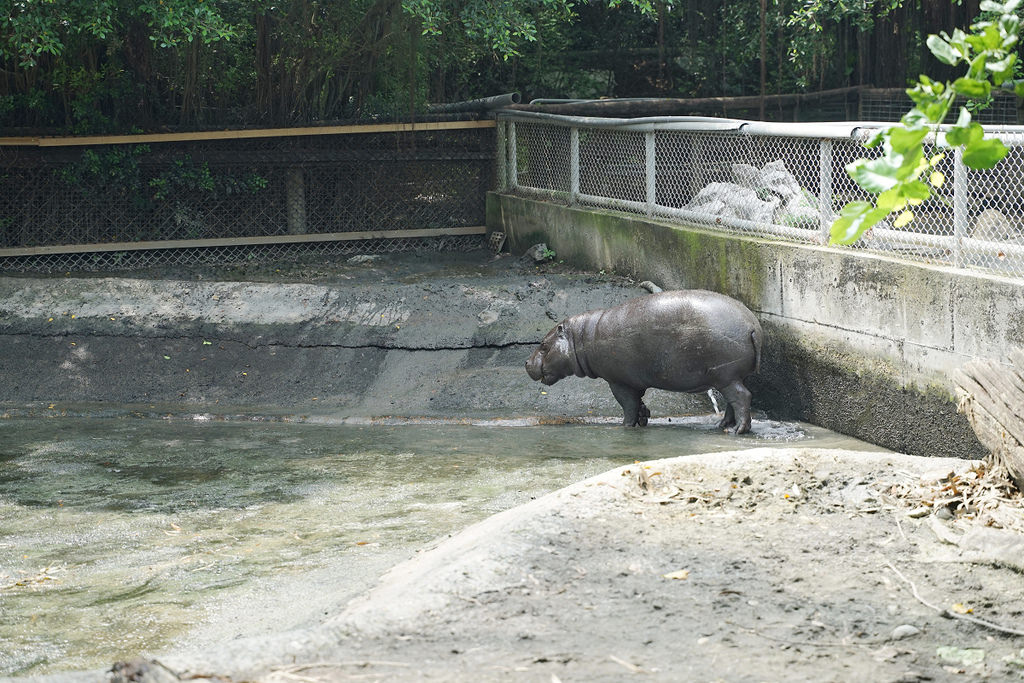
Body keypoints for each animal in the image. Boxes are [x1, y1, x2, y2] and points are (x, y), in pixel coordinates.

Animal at [528, 290, 761, 436]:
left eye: (543, 345)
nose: (526, 362)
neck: (582, 338)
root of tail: (753, 325)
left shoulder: (618, 382)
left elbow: (628, 405)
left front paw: (625, 426)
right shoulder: (634, 381)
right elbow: (639, 403)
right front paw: (644, 418)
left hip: (726, 375)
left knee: (742, 397)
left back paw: (736, 430)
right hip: (731, 377)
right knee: (733, 401)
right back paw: (722, 425)